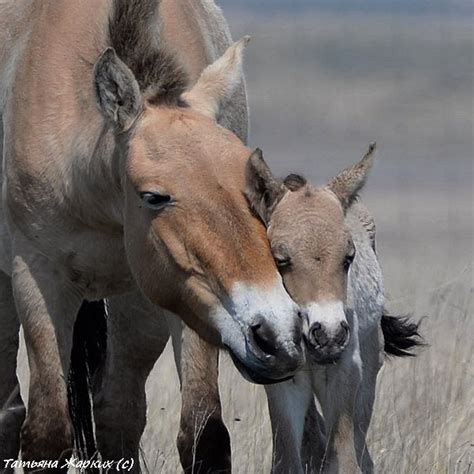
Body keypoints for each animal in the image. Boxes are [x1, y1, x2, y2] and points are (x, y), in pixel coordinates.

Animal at [0, 0, 304, 466]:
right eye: (154, 196)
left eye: (253, 183)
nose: (278, 335)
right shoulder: (38, 278)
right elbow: (46, 432)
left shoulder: (176, 294)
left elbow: (202, 434)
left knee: (116, 414)